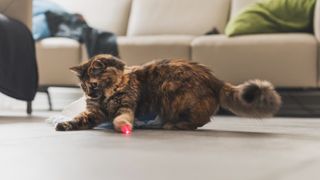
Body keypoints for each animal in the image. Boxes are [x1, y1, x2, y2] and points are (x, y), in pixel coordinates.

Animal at [56, 54, 282, 131]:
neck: (106, 98)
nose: (91, 95)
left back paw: (172, 125)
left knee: (200, 121)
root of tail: (214, 79)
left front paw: (122, 126)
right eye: (84, 86)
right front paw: (65, 125)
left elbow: (122, 117)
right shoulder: (94, 112)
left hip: (174, 96)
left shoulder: (125, 106)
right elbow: (79, 119)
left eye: (94, 84)